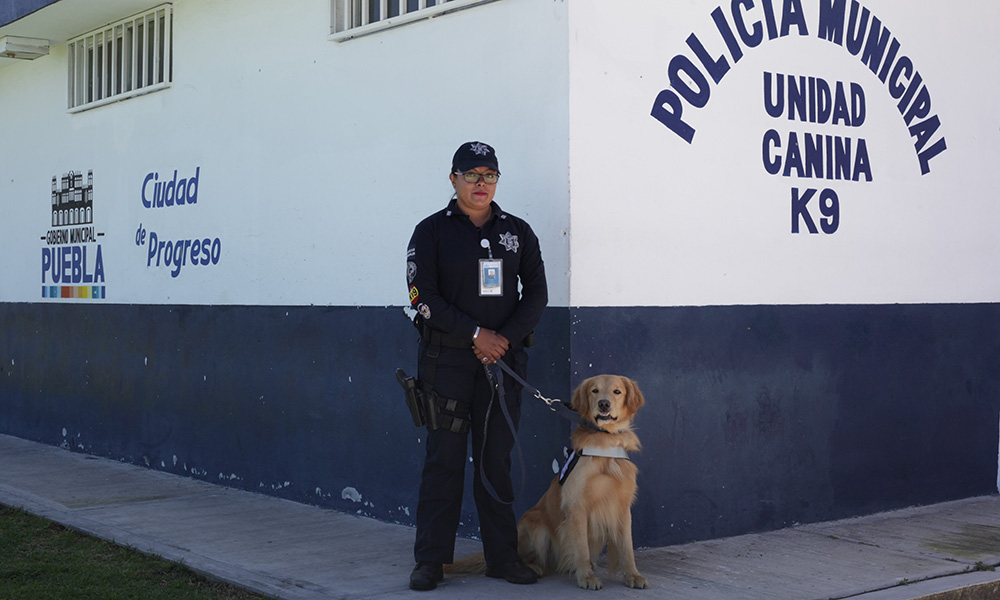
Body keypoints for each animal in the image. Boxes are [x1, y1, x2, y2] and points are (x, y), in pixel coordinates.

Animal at [448, 376, 648, 592]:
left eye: (617, 392)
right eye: (594, 391)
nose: (604, 404)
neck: (605, 443)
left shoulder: (622, 508)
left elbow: (627, 547)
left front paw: (633, 575)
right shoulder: (576, 507)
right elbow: (581, 549)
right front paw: (586, 577)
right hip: (537, 525)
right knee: (533, 558)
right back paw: (533, 568)